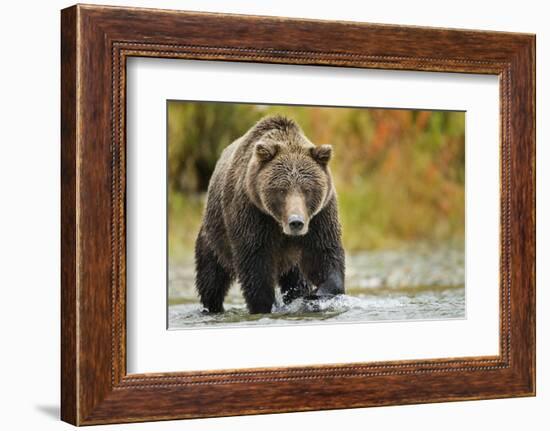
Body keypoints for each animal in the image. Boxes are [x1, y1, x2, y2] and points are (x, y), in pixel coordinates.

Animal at [196, 115, 348, 314]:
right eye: (282, 190)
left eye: (307, 190)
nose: (296, 222)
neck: (278, 224)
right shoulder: (252, 214)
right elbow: (255, 265)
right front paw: (263, 305)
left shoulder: (320, 217)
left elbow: (324, 254)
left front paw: (315, 295)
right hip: (214, 238)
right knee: (211, 279)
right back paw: (213, 307)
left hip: (291, 261)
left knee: (296, 279)